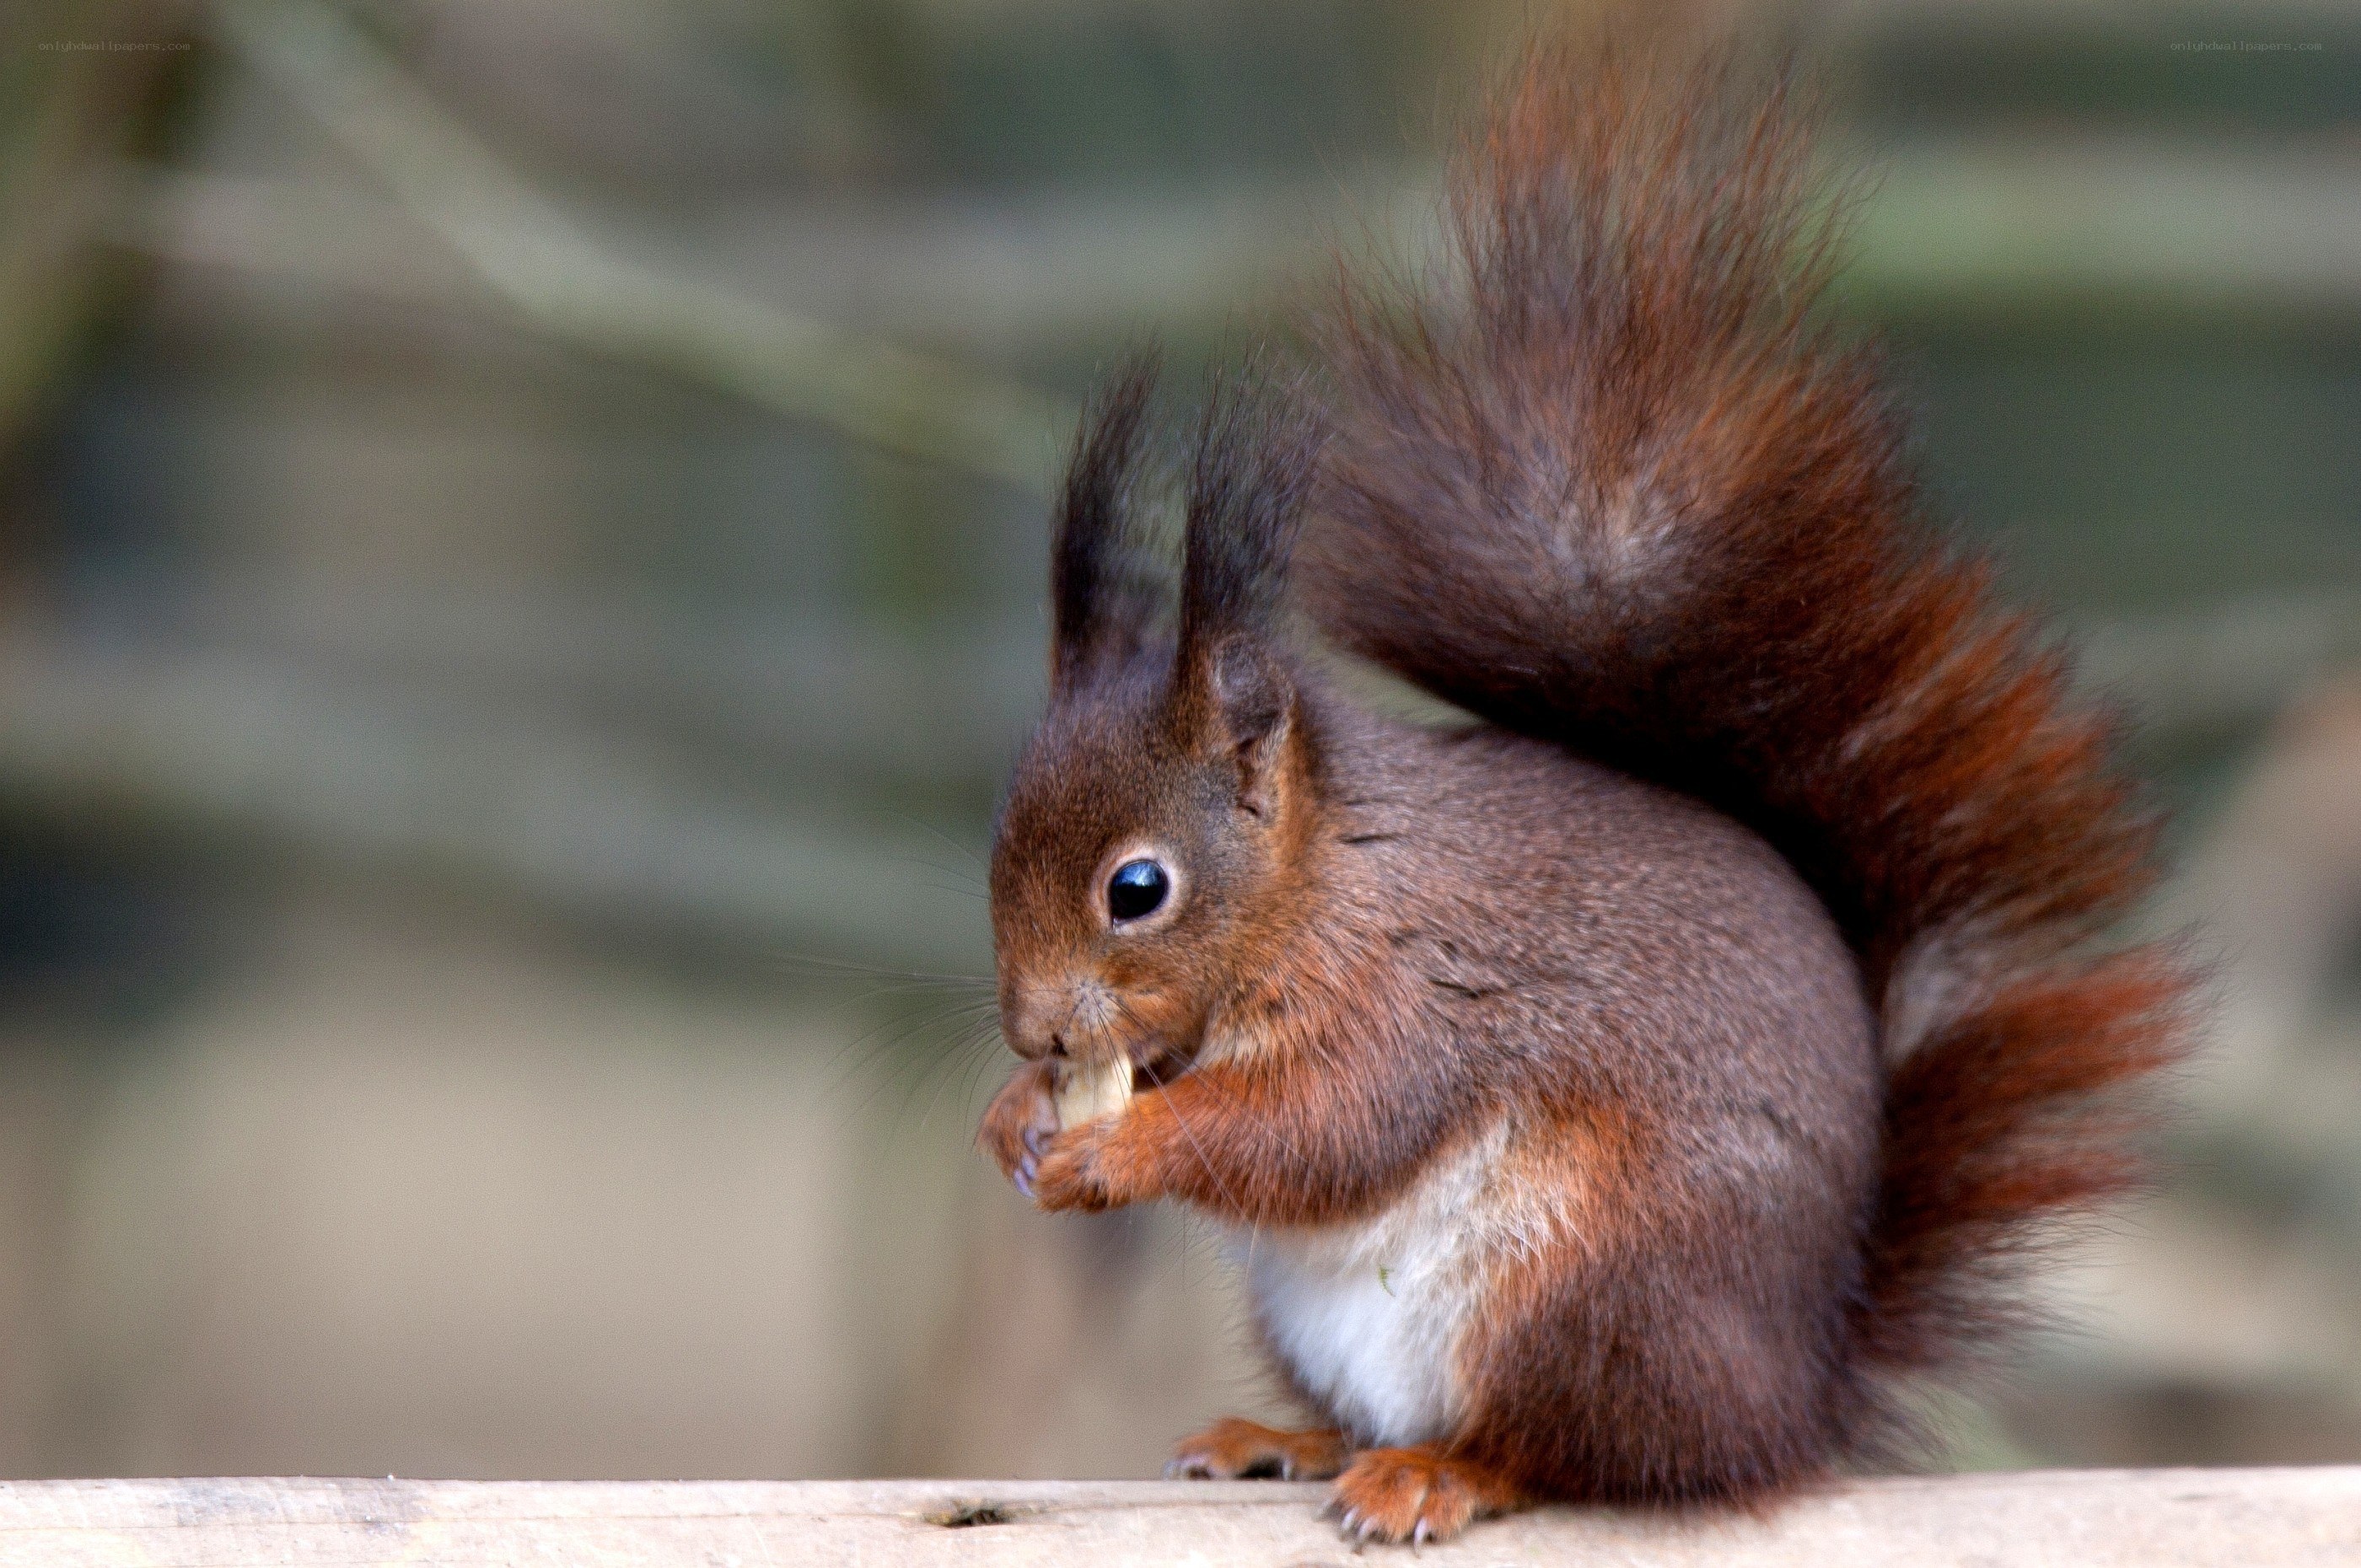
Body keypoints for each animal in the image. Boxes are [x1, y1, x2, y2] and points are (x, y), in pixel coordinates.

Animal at [975, 35, 2188, 1547]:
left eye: (1137, 889)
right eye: (996, 847)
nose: (1031, 1031)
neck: (1325, 877)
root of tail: (1790, 1397)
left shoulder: (1409, 996)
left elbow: (1323, 1128)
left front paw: (1116, 1151)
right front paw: (1014, 1117)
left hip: (1587, 1281)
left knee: (1578, 1455)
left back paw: (1439, 1474)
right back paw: (1286, 1438)